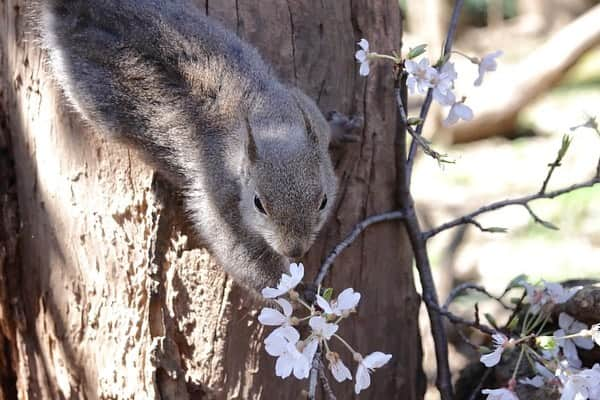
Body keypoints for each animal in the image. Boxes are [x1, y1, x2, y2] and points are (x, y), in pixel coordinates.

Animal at [35, 0, 354, 294]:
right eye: (258, 204)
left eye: (324, 201)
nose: (294, 251)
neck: (272, 125)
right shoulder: (219, 197)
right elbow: (245, 258)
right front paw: (297, 291)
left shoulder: (304, 106)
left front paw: (342, 129)